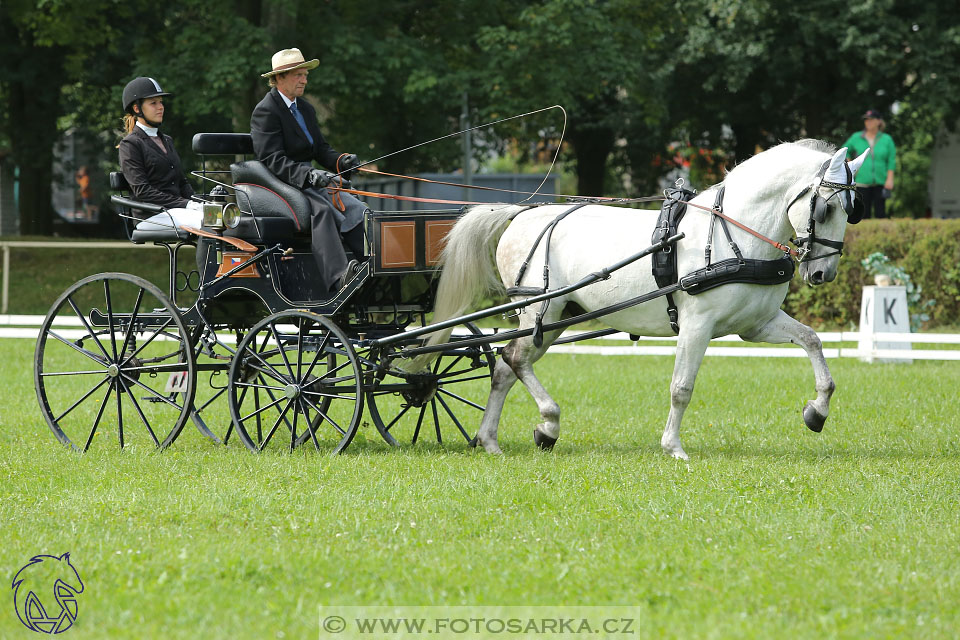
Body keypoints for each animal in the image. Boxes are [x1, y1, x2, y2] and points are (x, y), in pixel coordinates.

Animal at [416, 142, 868, 458]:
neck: (734, 233)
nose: (823, 274)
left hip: (554, 316)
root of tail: (523, 214)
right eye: (826, 209)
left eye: (853, 209)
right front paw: (673, 447)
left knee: (505, 368)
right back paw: (548, 423)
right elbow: (681, 387)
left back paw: (493, 439)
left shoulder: (756, 325)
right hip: (539, 309)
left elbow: (812, 341)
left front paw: (817, 411)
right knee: (514, 360)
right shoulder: (697, 324)